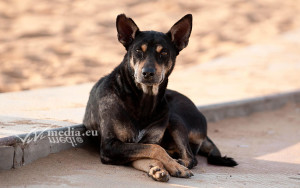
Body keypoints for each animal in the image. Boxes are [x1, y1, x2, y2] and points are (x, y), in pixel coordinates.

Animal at [83, 13, 238, 182]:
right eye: (138, 51)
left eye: (163, 53)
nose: (148, 73)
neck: (142, 100)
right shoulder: (110, 147)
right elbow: (153, 150)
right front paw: (159, 168)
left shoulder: (139, 142)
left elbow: (154, 148)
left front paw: (171, 166)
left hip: (174, 117)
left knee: (191, 158)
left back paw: (180, 162)